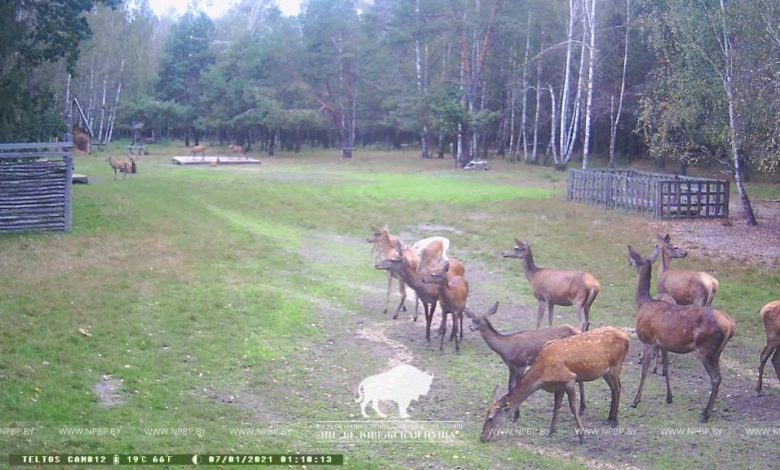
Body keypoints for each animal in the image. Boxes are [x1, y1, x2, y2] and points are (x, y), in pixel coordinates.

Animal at [480, 327, 629, 444]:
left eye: (491, 418)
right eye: (485, 414)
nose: (482, 437)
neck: (542, 375)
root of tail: (626, 336)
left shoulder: (569, 379)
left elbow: (573, 407)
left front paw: (582, 436)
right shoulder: (559, 385)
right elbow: (556, 406)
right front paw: (551, 432)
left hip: (616, 366)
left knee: (618, 388)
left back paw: (614, 421)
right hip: (606, 371)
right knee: (615, 388)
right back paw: (609, 419)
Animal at [627, 245, 736, 422]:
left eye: (636, 260)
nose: (629, 261)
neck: (642, 304)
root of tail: (730, 326)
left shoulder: (647, 340)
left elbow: (644, 371)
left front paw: (635, 401)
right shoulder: (663, 343)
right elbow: (666, 369)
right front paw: (669, 397)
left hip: (706, 348)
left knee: (715, 378)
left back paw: (705, 414)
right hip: (717, 352)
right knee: (720, 376)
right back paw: (708, 411)